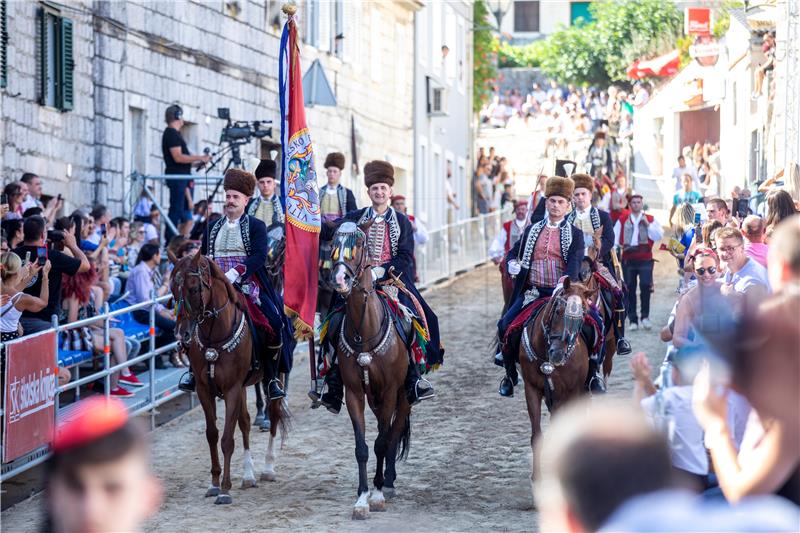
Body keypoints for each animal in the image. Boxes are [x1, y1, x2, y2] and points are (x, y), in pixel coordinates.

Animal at [172, 252, 290, 502]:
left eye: (194, 288)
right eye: (172, 290)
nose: (181, 334)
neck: (214, 337)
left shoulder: (232, 389)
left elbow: (227, 438)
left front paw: (225, 489)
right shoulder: (205, 390)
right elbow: (212, 434)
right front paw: (214, 483)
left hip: (274, 377)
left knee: (274, 416)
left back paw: (267, 468)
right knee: (245, 422)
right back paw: (248, 476)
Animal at [330, 220, 412, 520]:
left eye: (358, 245)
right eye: (333, 244)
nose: (340, 280)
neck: (364, 332)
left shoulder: (389, 392)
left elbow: (382, 442)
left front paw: (376, 494)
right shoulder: (355, 392)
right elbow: (363, 447)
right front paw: (362, 498)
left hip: (404, 395)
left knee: (394, 432)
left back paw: (388, 482)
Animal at [520, 280, 592, 500]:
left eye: (583, 315)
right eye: (559, 310)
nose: (558, 354)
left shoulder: (569, 392)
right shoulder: (532, 389)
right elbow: (537, 435)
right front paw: (537, 479)